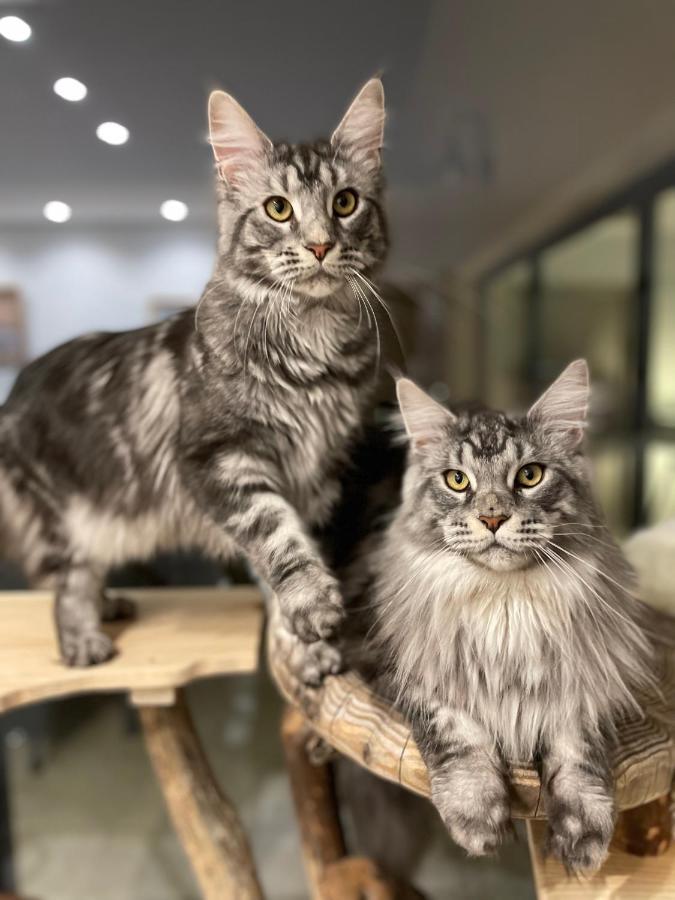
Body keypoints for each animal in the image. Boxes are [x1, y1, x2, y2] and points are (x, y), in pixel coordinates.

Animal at [0, 77, 388, 668]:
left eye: (345, 203)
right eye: (278, 209)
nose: (321, 245)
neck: (314, 349)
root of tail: (16, 386)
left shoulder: (318, 474)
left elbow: (281, 564)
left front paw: (304, 649)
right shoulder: (220, 457)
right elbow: (278, 537)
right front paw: (314, 607)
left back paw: (111, 605)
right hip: (62, 518)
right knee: (68, 585)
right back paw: (85, 641)